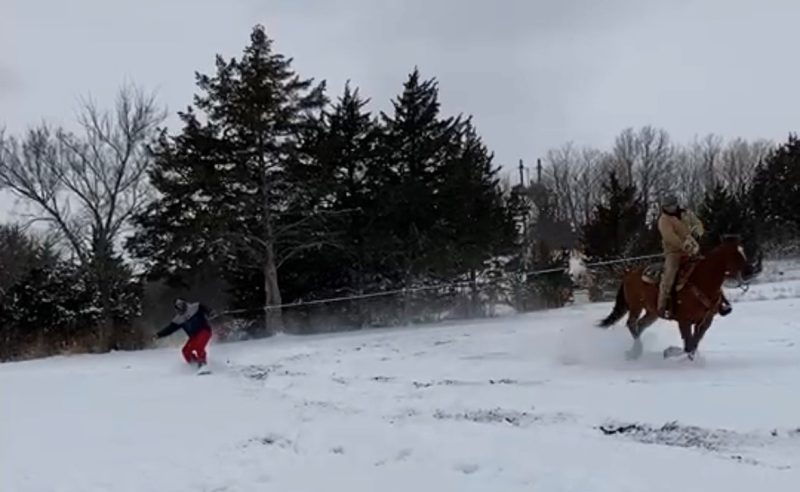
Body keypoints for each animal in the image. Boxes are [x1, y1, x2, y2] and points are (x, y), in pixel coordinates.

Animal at [596, 236, 752, 360]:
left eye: (743, 251)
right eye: (736, 254)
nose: (751, 270)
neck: (701, 280)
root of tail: (629, 274)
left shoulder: (705, 322)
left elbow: (693, 344)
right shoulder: (684, 321)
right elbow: (688, 345)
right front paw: (670, 352)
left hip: (652, 312)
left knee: (640, 325)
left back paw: (635, 352)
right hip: (636, 306)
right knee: (631, 323)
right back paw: (636, 351)